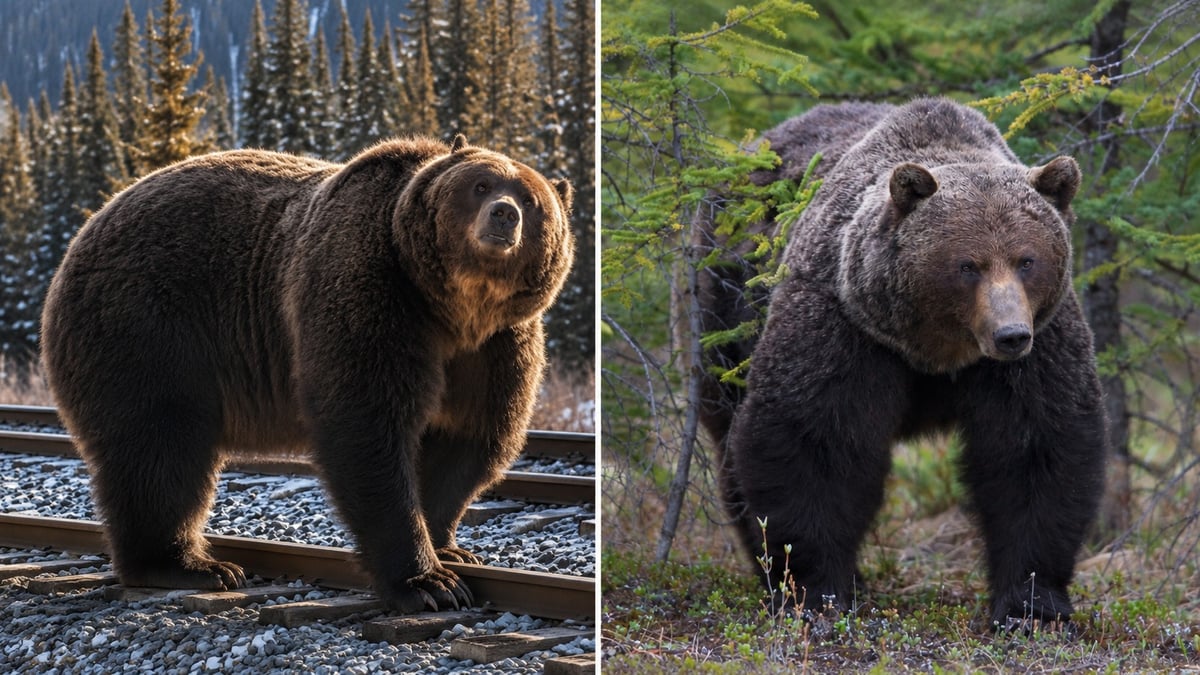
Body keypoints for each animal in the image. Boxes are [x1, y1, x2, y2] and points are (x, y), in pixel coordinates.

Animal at [40, 135, 575, 613]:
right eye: (481, 185)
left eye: (531, 199)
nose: (505, 214)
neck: (454, 307)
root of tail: (87, 229)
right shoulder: (372, 293)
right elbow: (367, 429)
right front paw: (428, 584)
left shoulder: (494, 348)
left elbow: (467, 440)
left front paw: (450, 551)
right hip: (147, 327)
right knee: (160, 447)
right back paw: (191, 566)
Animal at [696, 98, 1107, 628]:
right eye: (968, 265)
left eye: (1027, 260)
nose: (1011, 335)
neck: (934, 348)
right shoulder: (845, 325)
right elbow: (813, 440)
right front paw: (816, 591)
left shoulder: (1039, 345)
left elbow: (1035, 449)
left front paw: (1032, 605)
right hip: (723, 310)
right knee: (729, 435)